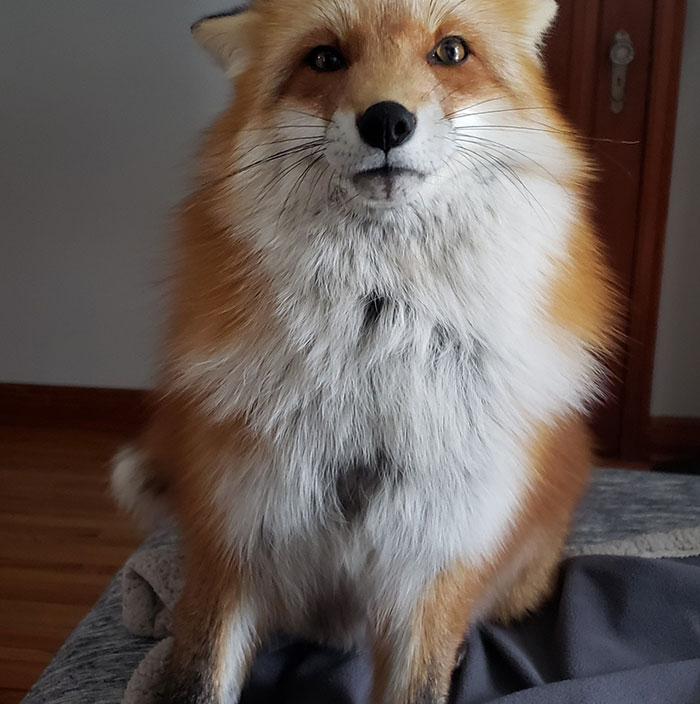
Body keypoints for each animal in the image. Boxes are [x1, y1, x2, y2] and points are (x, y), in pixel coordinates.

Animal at [111, 0, 617, 702]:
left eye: (450, 51)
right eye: (325, 58)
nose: (387, 120)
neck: (374, 368)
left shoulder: (437, 558)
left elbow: (419, 680)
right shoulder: (232, 539)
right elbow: (198, 676)